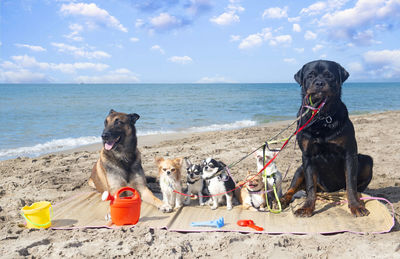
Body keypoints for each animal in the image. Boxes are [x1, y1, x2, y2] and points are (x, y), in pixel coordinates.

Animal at [280, 60, 374, 217]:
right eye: (310, 75)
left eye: (329, 75)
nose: (319, 83)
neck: (322, 117)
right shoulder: (307, 157)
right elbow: (310, 186)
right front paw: (307, 208)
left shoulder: (349, 154)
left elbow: (351, 183)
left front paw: (355, 205)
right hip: (300, 169)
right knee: (292, 189)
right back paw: (281, 200)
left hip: (367, 161)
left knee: (356, 187)